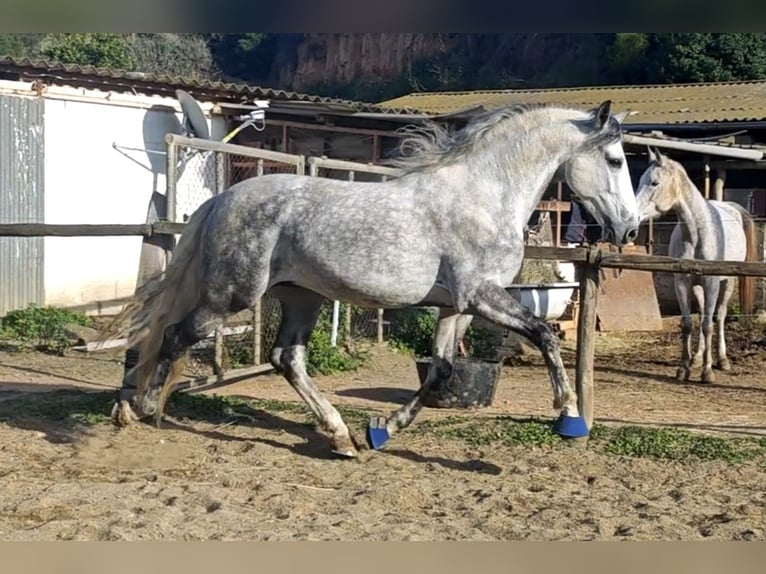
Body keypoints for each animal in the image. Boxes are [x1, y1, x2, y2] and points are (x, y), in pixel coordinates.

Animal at [111, 99, 640, 460]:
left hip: (301, 297)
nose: (629, 228)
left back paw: (342, 437)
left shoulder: (456, 307)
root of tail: (221, 200)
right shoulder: (482, 296)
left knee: (286, 359)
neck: (484, 196)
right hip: (232, 295)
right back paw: (138, 409)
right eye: (615, 160)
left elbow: (441, 372)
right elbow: (545, 334)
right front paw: (569, 417)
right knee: (176, 335)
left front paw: (380, 432)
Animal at [636, 148, 756, 384]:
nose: (631, 214)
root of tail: (733, 208)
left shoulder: (711, 282)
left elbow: (709, 325)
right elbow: (688, 324)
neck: (697, 234)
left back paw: (722, 360)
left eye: (654, 182)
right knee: (701, 315)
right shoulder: (681, 282)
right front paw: (684, 368)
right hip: (697, 286)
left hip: (727, 283)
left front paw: (707, 372)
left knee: (719, 316)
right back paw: (698, 358)